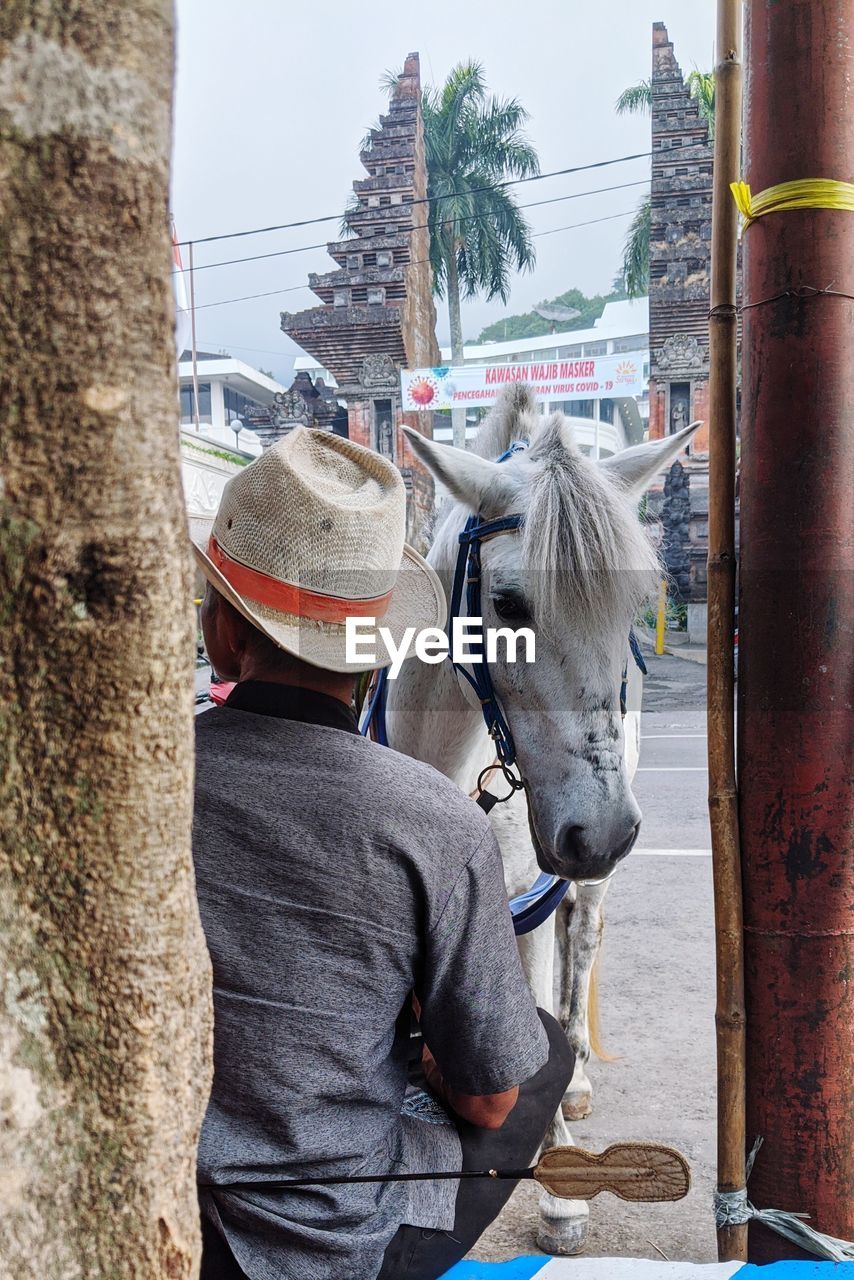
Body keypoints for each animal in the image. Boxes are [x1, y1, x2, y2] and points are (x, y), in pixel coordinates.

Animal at [391, 386, 696, 1249]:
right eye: (506, 603)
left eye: (632, 608)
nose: (599, 833)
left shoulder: (524, 905)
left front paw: (561, 1188)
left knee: (579, 947)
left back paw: (579, 1085)